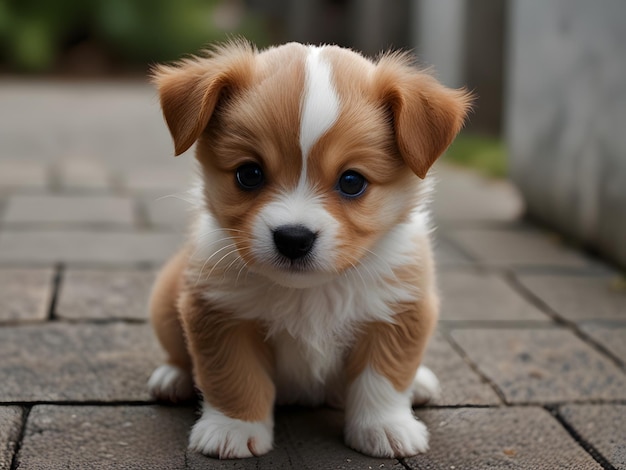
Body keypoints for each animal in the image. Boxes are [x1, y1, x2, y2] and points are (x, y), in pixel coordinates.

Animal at [146, 40, 468, 458]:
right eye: (249, 174)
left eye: (352, 181)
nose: (293, 238)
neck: (310, 294)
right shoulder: (219, 311)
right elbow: (234, 376)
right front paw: (233, 428)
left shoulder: (400, 309)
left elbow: (383, 377)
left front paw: (384, 427)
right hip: (165, 298)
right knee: (178, 351)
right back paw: (173, 377)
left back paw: (421, 383)